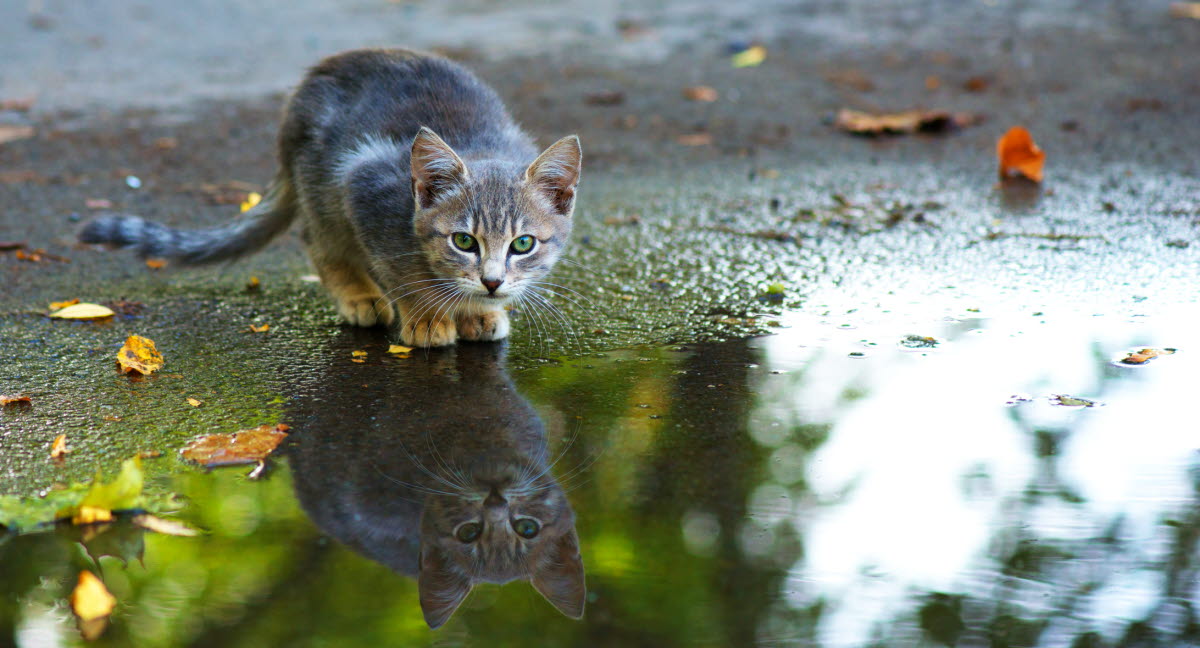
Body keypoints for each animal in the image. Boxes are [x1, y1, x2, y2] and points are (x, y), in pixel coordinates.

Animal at [79, 50, 580, 345]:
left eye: (523, 244)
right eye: (463, 241)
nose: (492, 282)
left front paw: (478, 311)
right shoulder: (365, 188)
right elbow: (400, 271)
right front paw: (426, 315)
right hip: (325, 189)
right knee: (316, 238)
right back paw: (360, 296)